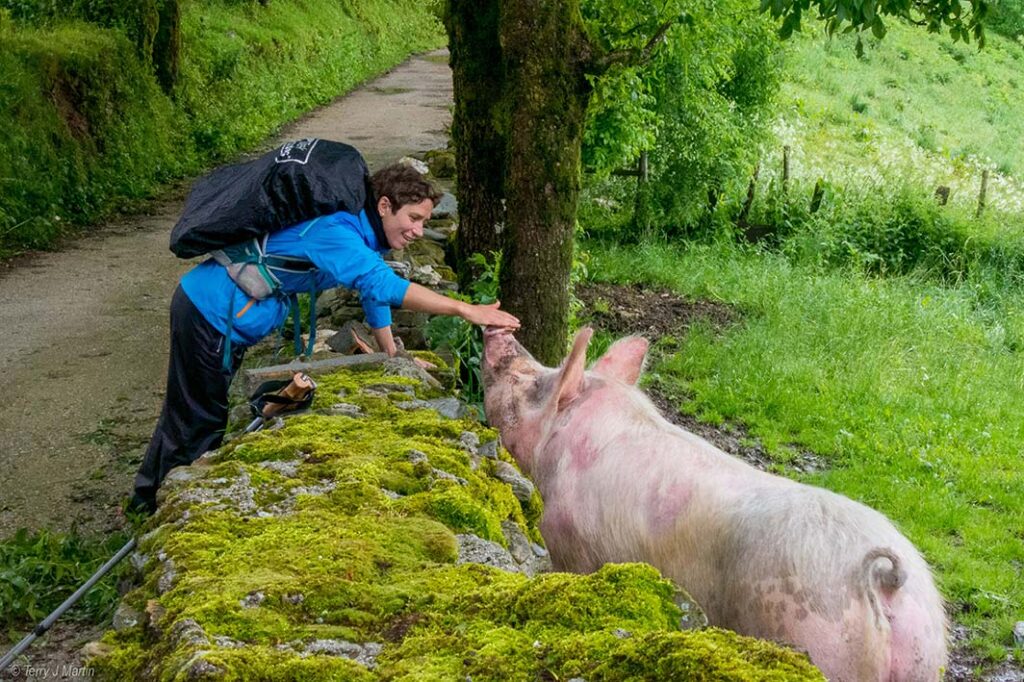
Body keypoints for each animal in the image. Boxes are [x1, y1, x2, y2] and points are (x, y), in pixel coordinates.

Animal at [483, 327, 946, 675]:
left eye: (534, 382)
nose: (499, 330)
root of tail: (883, 578)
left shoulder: (570, 543)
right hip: (923, 655)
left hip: (817, 637)